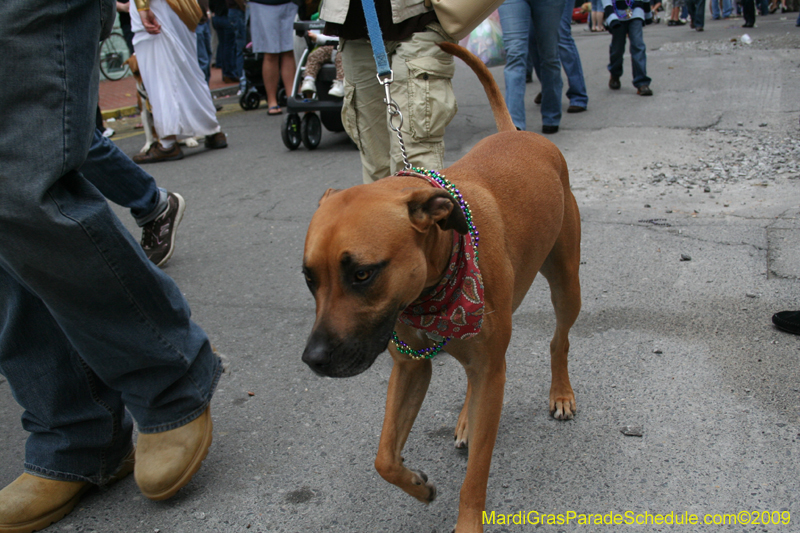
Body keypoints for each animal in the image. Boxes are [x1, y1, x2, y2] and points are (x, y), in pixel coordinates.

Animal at [300, 42, 580, 532]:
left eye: (362, 274)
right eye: (309, 278)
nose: (312, 360)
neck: (429, 291)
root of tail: (520, 134)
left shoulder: (491, 369)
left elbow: (477, 474)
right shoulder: (411, 368)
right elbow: (384, 458)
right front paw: (417, 484)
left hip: (567, 284)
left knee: (558, 339)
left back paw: (559, 392)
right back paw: (467, 419)